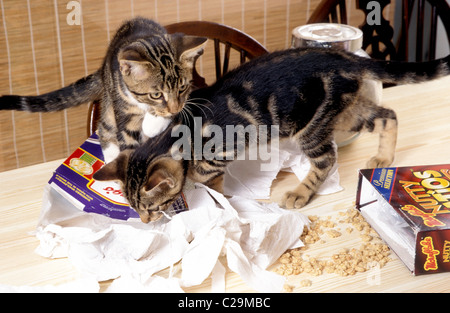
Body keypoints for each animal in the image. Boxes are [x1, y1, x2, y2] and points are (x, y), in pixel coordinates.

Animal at [0, 17, 207, 162]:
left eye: (182, 87)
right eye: (156, 94)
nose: (174, 108)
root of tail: (102, 69)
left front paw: (154, 123)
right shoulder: (122, 105)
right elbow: (127, 137)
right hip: (109, 101)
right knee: (104, 126)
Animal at [93, 47, 448, 222]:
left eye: (151, 208)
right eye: (134, 207)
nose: (144, 222)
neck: (182, 133)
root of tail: (349, 57)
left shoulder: (226, 146)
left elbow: (203, 173)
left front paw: (218, 194)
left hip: (311, 124)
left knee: (326, 159)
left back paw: (301, 193)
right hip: (346, 113)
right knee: (388, 115)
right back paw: (384, 157)